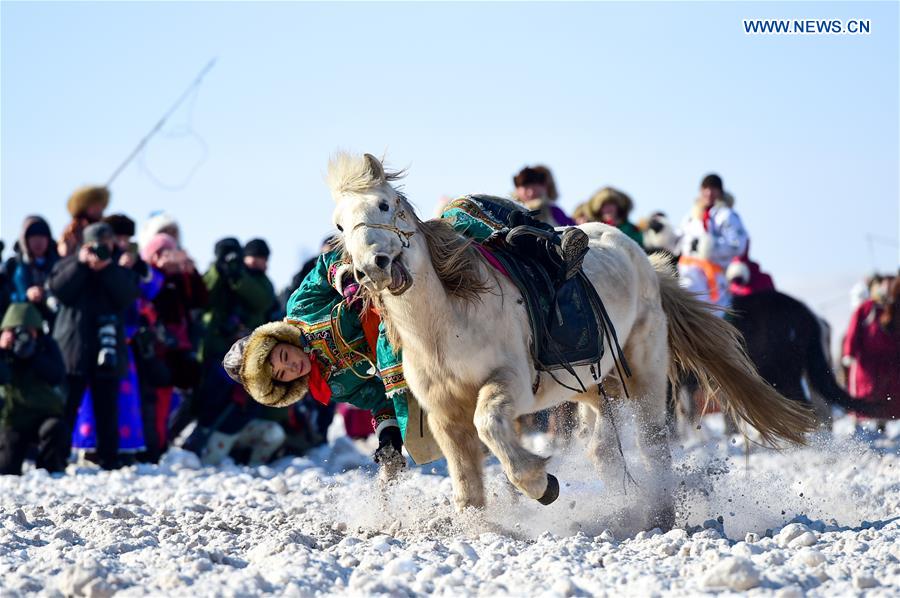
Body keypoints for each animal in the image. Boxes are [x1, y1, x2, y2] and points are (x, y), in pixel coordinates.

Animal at [328, 152, 816, 528]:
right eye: (339, 225)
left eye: (385, 204)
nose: (372, 266)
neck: (447, 323)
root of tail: (644, 260)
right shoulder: (443, 412)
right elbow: (466, 481)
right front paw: (481, 528)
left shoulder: (510, 384)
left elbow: (490, 425)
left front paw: (540, 483)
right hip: (594, 387)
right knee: (604, 451)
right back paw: (623, 506)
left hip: (643, 374)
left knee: (652, 445)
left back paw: (657, 516)